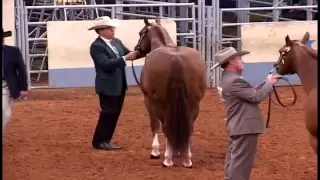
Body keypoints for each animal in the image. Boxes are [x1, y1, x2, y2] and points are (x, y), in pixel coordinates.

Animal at [133, 17, 206, 168]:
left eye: (141, 33)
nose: (136, 49)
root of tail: (175, 58)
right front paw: (177, 151)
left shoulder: (148, 100)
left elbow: (155, 125)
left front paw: (155, 152)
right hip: (194, 103)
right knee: (188, 127)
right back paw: (187, 158)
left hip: (161, 103)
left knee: (166, 126)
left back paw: (167, 159)